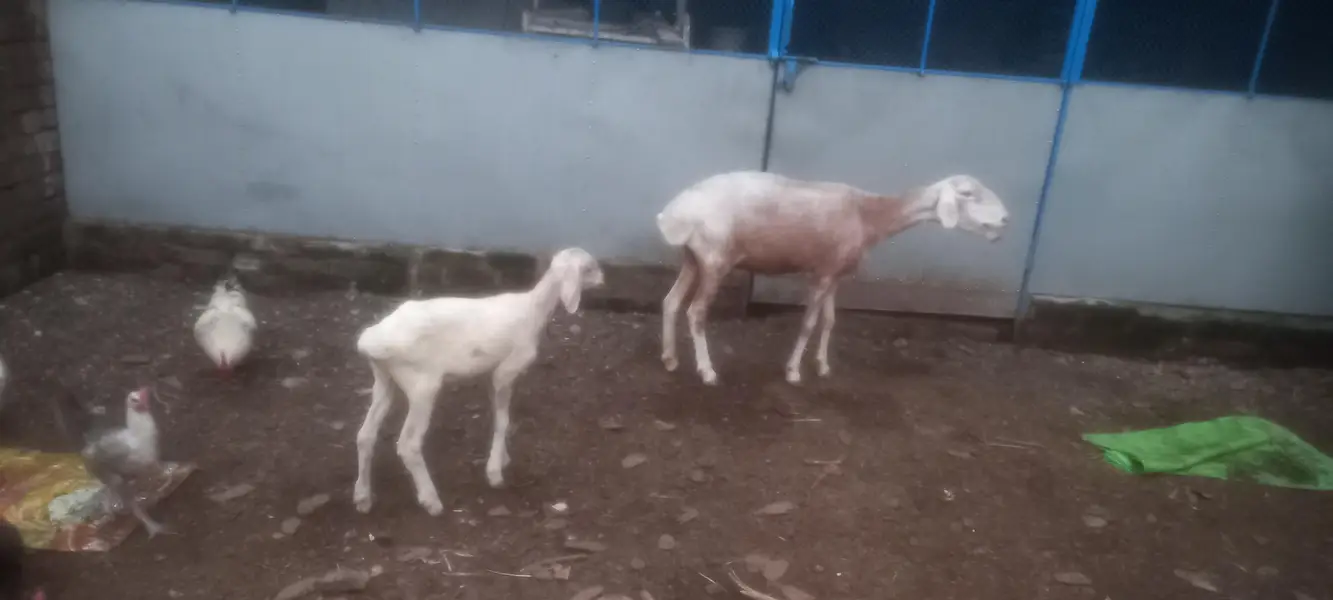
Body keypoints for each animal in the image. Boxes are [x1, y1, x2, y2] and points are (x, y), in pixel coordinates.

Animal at [352, 247, 605, 516]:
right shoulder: (507, 369)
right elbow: (504, 421)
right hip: (422, 385)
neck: (533, 309)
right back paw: (431, 501)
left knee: (365, 435)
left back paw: (363, 497)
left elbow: (497, 415)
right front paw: (494, 473)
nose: (603, 280)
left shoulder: (492, 374)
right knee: (408, 444)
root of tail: (371, 340)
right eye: (590, 268)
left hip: (383, 379)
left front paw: (502, 457)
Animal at [656, 170, 1010, 385]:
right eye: (968, 193)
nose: (1006, 219)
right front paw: (793, 371)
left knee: (670, 301)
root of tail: (673, 212)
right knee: (696, 312)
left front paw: (823, 366)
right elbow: (808, 323)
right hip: (715, 260)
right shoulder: (822, 273)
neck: (870, 215)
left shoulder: (836, 273)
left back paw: (670, 358)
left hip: (693, 258)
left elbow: (829, 321)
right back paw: (707, 371)